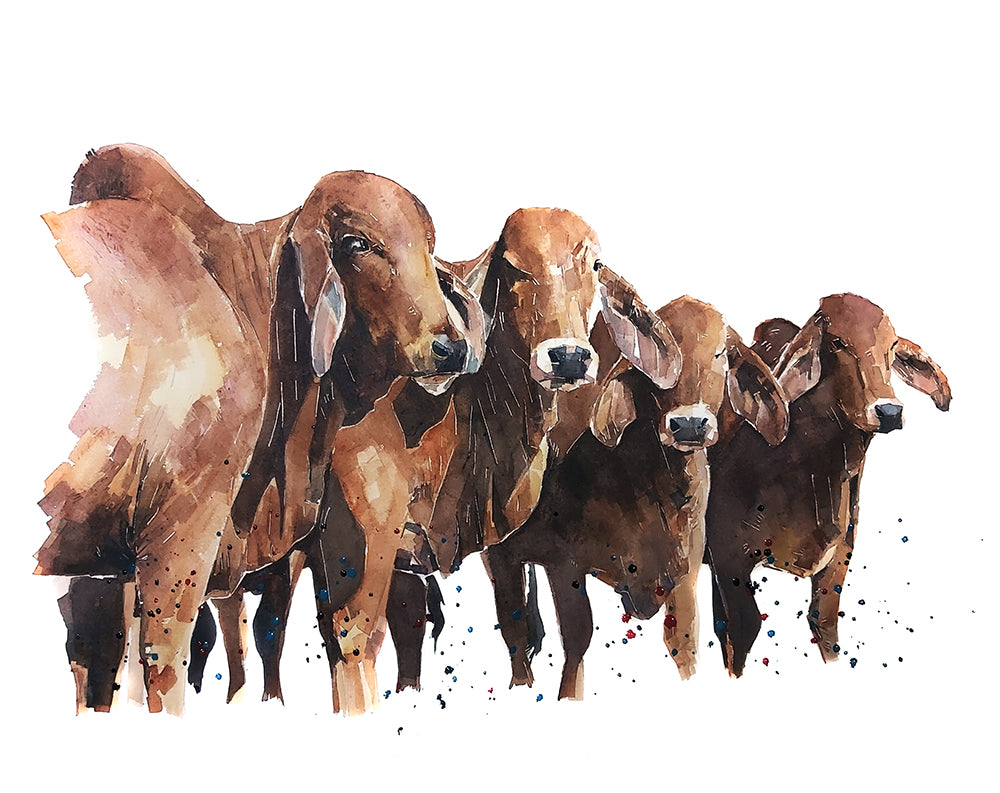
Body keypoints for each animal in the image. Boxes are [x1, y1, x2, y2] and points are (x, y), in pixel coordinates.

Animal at [35, 144, 482, 714]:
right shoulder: (178, 536)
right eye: (359, 244)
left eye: (429, 245)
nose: (450, 347)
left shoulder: (98, 565)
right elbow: (161, 666)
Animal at [481, 296, 789, 698]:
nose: (689, 424)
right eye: (656, 352)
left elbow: (684, 644)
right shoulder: (564, 565)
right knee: (514, 631)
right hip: (500, 557)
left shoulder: (685, 573)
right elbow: (576, 642)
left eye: (721, 353)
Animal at [705, 293, 951, 677]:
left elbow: (824, 624)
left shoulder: (837, 561)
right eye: (837, 343)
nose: (889, 411)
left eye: (892, 347)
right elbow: (743, 628)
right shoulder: (728, 559)